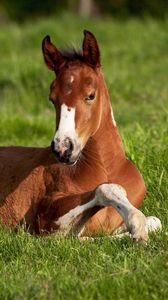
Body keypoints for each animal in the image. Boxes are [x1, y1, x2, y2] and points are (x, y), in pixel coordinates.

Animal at [0, 29, 161, 241]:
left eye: (91, 95)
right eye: (52, 99)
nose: (63, 148)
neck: (106, 168)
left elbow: (156, 221)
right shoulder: (46, 220)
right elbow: (105, 190)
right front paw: (137, 227)